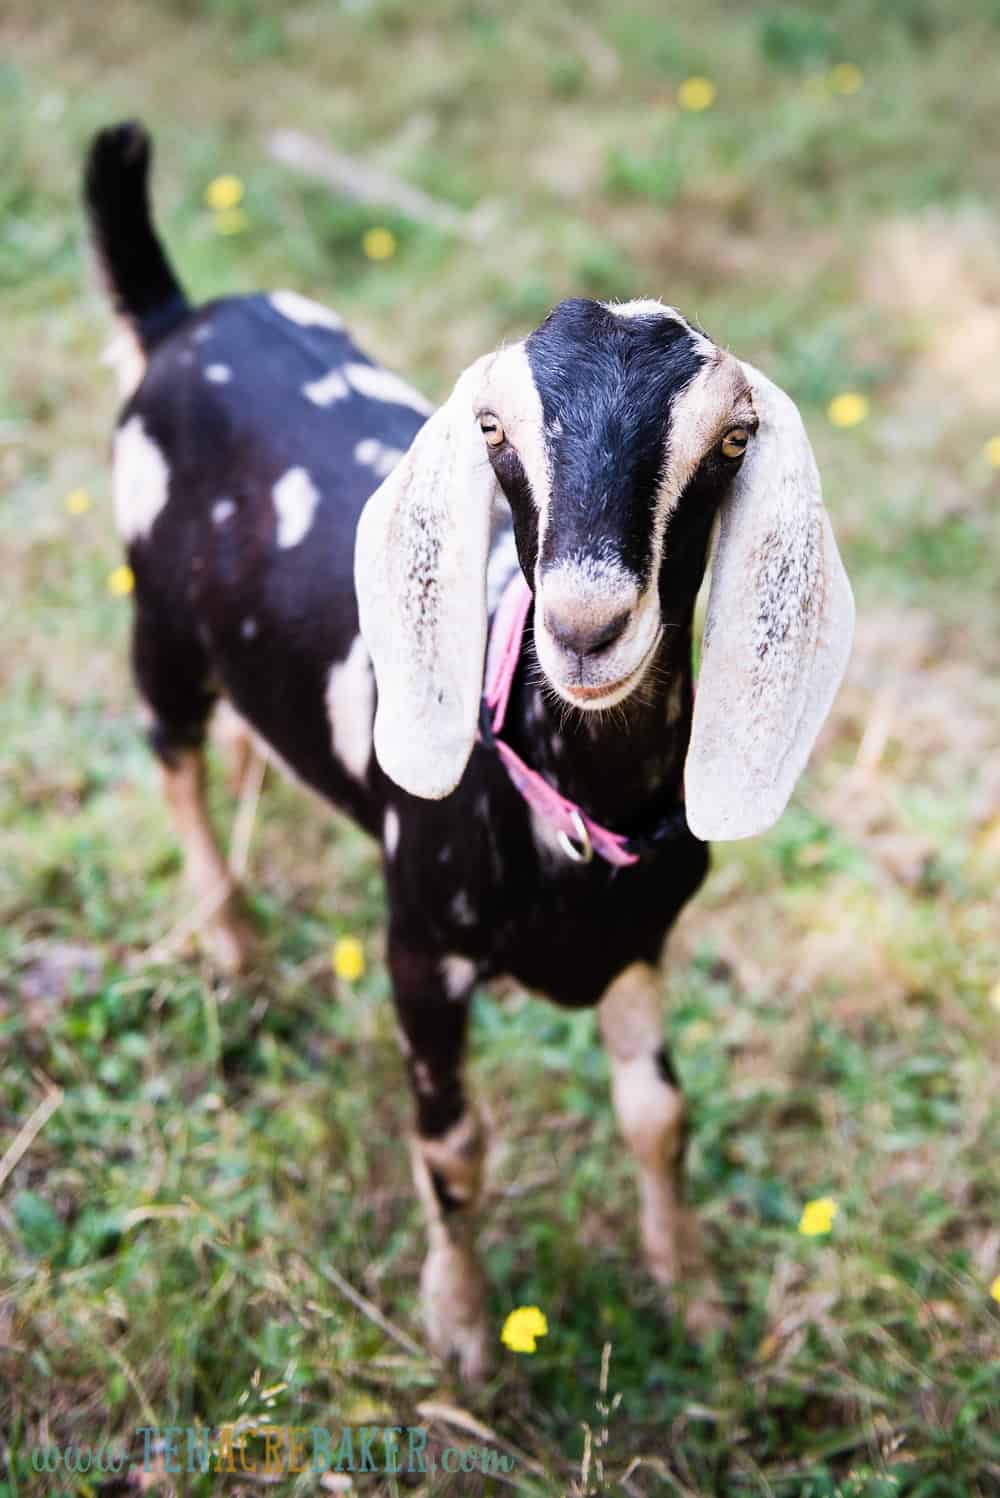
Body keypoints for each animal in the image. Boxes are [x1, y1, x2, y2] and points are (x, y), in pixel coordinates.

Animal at [81, 122, 856, 1384]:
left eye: (732, 438)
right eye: (493, 431)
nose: (587, 623)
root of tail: (179, 315)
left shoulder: (640, 942)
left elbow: (659, 1117)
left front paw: (692, 1296)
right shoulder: (419, 947)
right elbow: (453, 1141)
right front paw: (459, 1328)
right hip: (156, 615)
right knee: (171, 753)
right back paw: (231, 933)